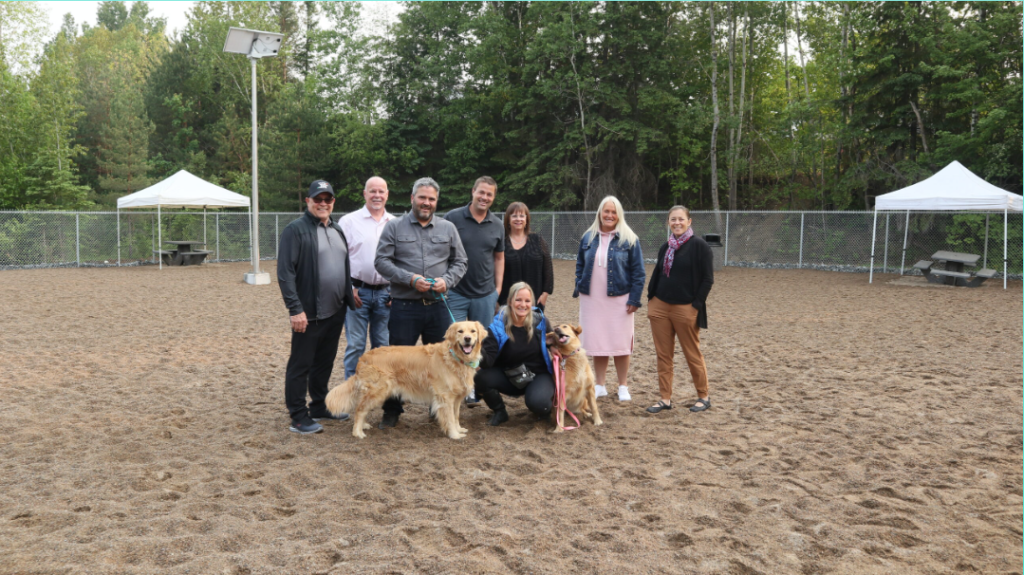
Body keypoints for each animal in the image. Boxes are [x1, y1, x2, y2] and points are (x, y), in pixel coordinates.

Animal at [327, 317, 487, 437]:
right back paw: (357, 432)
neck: (454, 358)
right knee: (359, 409)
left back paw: (364, 425)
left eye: (473, 331)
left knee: (362, 408)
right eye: (460, 331)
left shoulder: (456, 398)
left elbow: (456, 416)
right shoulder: (445, 396)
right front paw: (454, 434)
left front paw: (459, 429)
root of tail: (364, 357)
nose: (467, 338)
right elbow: (449, 418)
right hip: (378, 391)